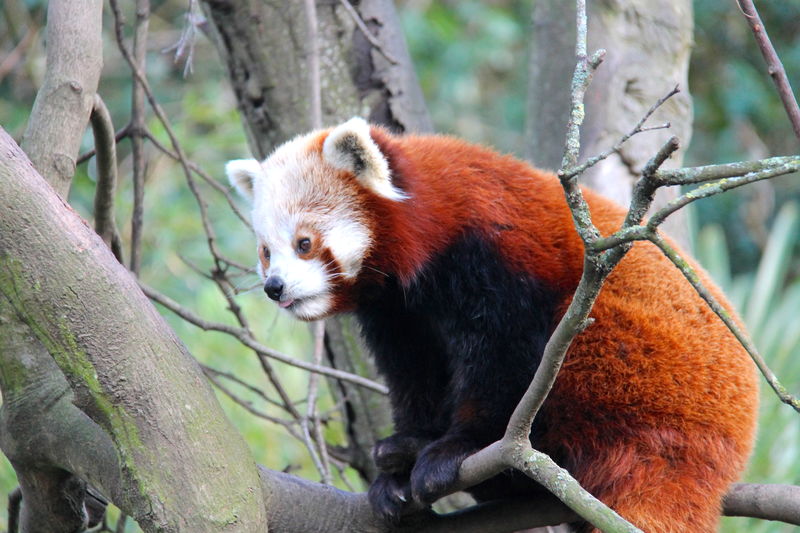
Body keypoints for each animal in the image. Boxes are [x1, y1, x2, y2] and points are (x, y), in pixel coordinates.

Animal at [228, 117, 760, 532]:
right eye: (265, 252)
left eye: (304, 243)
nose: (274, 287)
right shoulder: (398, 311)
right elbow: (416, 373)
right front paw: (406, 450)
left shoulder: (492, 256)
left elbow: (500, 360)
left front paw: (456, 448)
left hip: (635, 367)